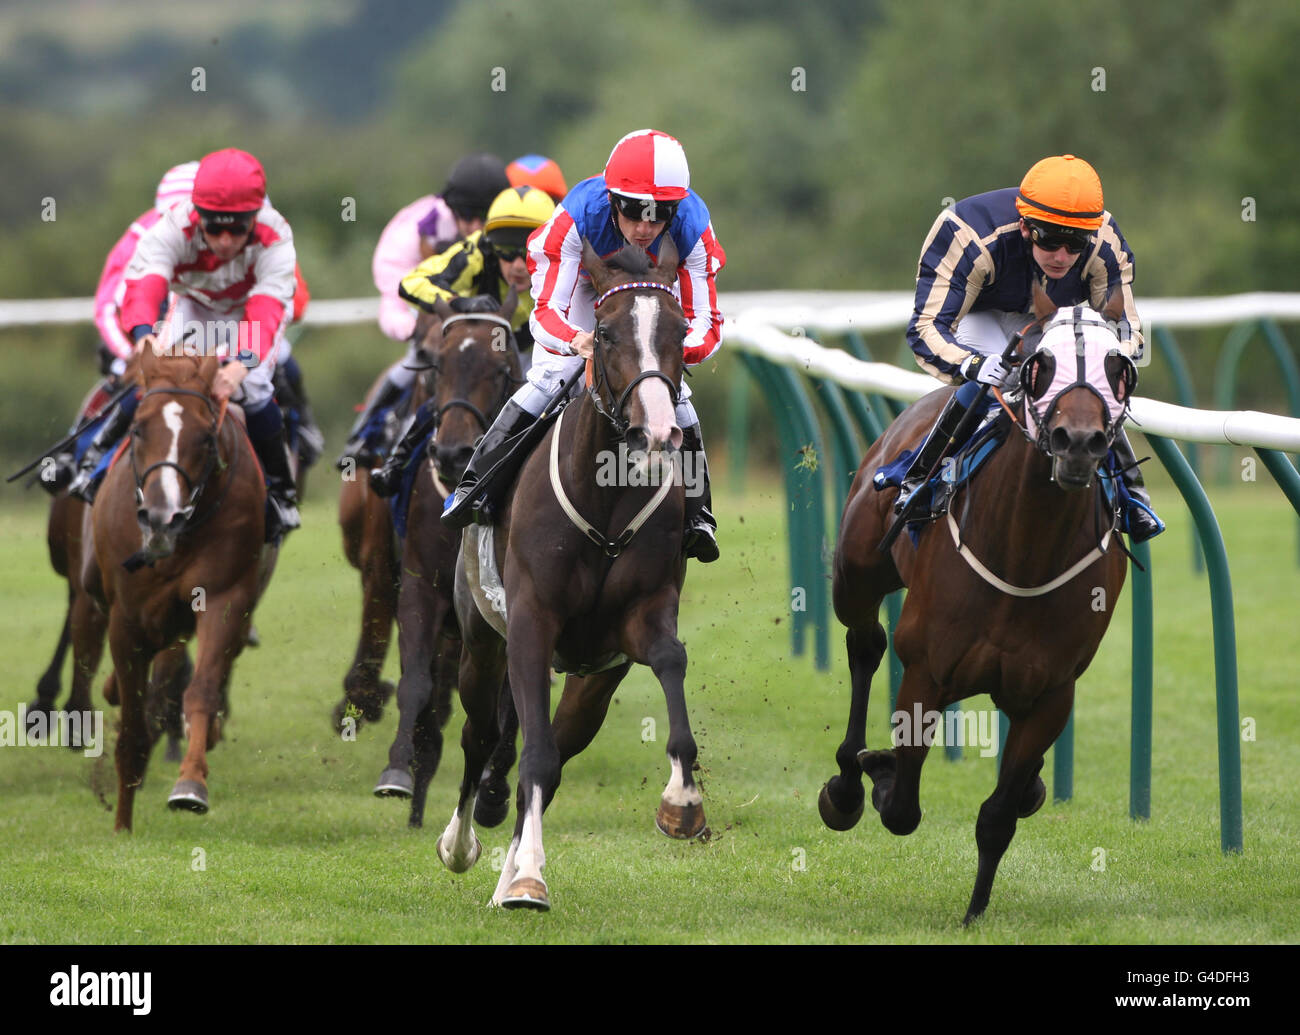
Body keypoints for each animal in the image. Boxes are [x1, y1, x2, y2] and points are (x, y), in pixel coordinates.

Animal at [87, 343, 275, 826]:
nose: (161, 516)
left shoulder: (224, 596)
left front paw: (190, 784)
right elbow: (133, 726)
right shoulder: (126, 618)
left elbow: (202, 690)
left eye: (206, 437)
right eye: (137, 429)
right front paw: (122, 825)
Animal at [371, 292, 522, 832]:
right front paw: (397, 770)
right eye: (438, 365)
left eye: (501, 369)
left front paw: (492, 790)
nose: (453, 452)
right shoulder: (420, 586)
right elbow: (415, 684)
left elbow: (508, 705)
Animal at [821, 287, 1138, 925]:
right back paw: (845, 785)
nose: (1079, 442)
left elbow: (997, 815)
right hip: (856, 577)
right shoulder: (925, 673)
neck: (1025, 552)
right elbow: (903, 805)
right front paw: (879, 773)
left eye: (1118, 366)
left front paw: (974, 912)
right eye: (1039, 362)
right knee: (865, 644)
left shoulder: (1052, 694)